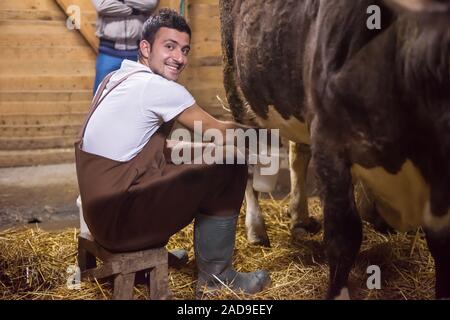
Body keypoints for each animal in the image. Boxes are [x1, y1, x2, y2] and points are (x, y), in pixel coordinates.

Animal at [219, 0, 450, 298]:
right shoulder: (329, 140)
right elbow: (344, 235)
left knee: (298, 153)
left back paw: (300, 218)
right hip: (236, 85)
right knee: (247, 158)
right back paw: (257, 230)